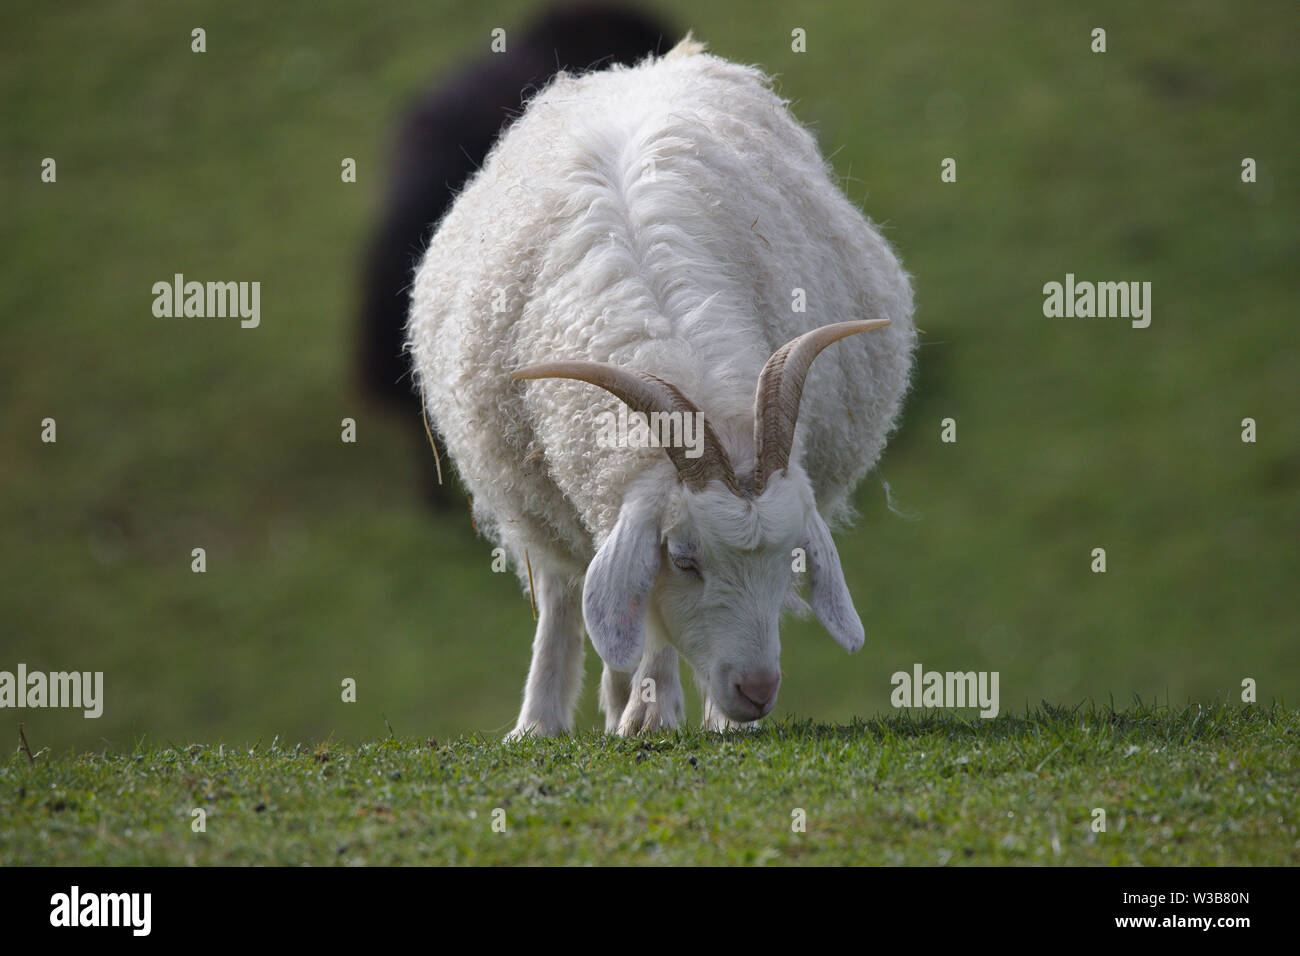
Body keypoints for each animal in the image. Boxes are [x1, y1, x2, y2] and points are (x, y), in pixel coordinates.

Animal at [405, 35, 915, 738]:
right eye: (684, 559)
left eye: (792, 556)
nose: (757, 691)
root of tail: (660, 59)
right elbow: (618, 602)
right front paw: (628, 715)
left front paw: (665, 712)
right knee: (567, 594)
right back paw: (559, 716)